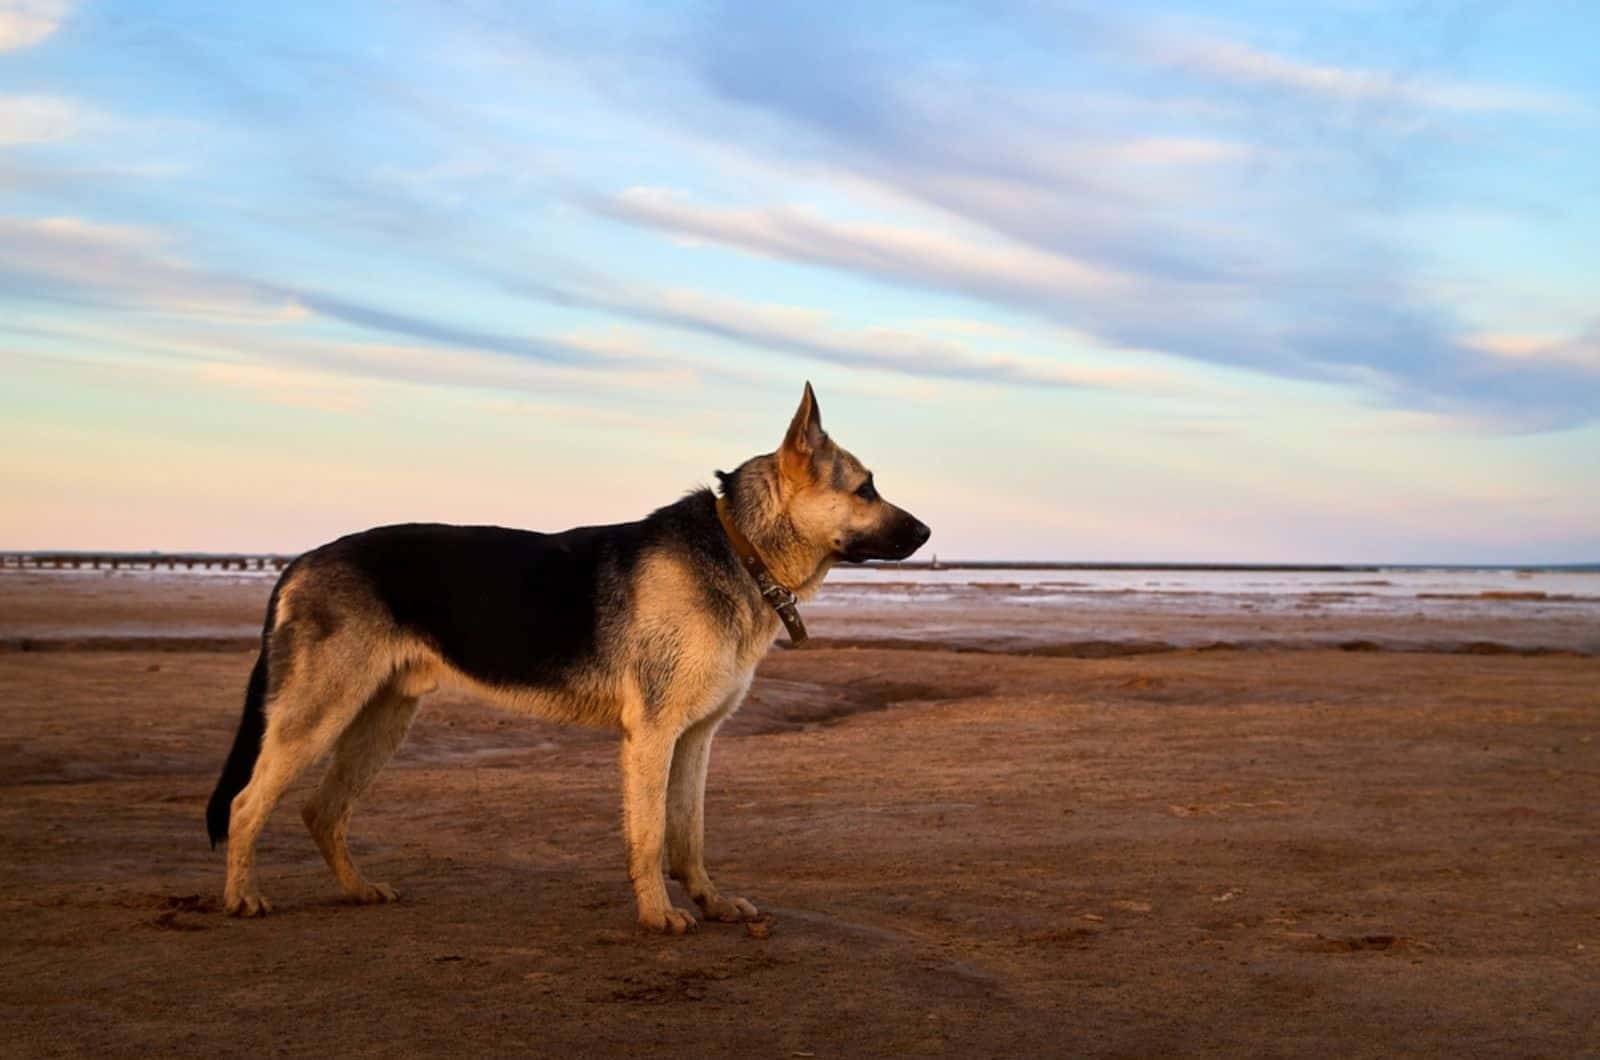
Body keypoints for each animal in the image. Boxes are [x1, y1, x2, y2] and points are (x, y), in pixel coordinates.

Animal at [206, 385, 934, 935]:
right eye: (865, 490)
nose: (929, 533)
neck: (739, 547)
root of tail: (301, 559)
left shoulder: (696, 739)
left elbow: (689, 835)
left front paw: (711, 902)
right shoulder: (652, 738)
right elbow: (650, 837)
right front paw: (658, 916)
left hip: (380, 723)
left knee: (321, 811)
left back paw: (357, 889)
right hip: (317, 719)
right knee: (247, 804)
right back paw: (241, 897)